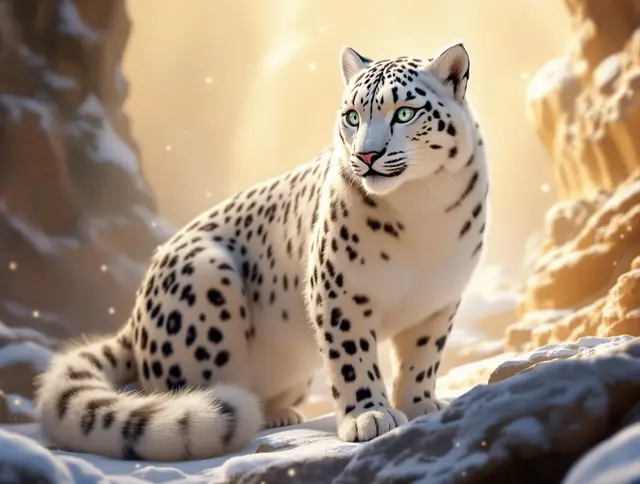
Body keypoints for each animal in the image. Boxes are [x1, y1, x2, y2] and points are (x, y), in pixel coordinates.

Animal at [34, 41, 489, 462]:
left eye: (405, 113)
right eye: (352, 116)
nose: (367, 154)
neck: (422, 209)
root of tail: (133, 317)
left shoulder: (439, 301)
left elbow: (422, 358)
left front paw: (420, 405)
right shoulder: (338, 290)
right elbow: (352, 356)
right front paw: (369, 416)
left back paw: (277, 413)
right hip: (206, 286)